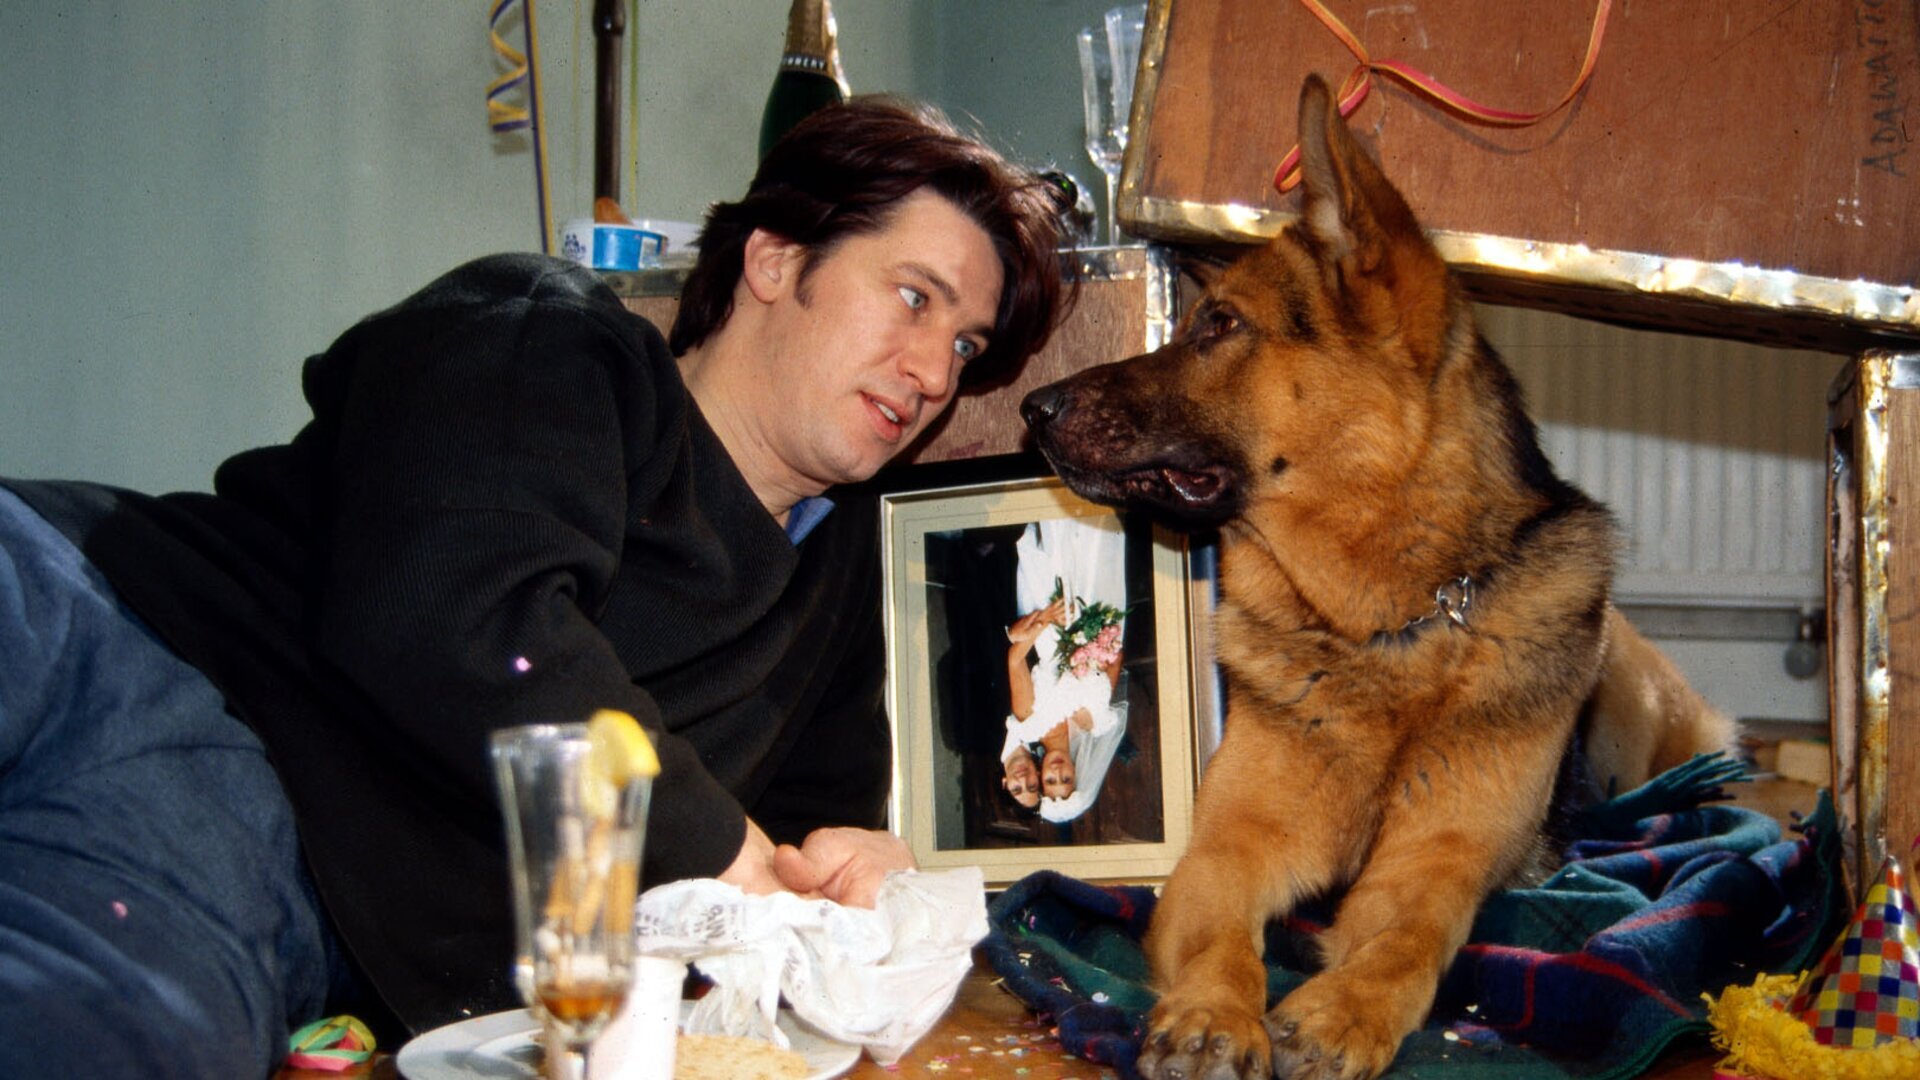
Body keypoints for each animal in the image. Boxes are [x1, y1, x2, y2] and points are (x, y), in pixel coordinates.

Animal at [1020, 74, 1736, 1080]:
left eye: (1220, 326)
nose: (1030, 407)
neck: (1383, 627)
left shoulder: (1439, 861)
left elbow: (1406, 940)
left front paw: (1343, 1009)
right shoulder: (1224, 851)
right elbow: (1222, 939)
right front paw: (1212, 1012)